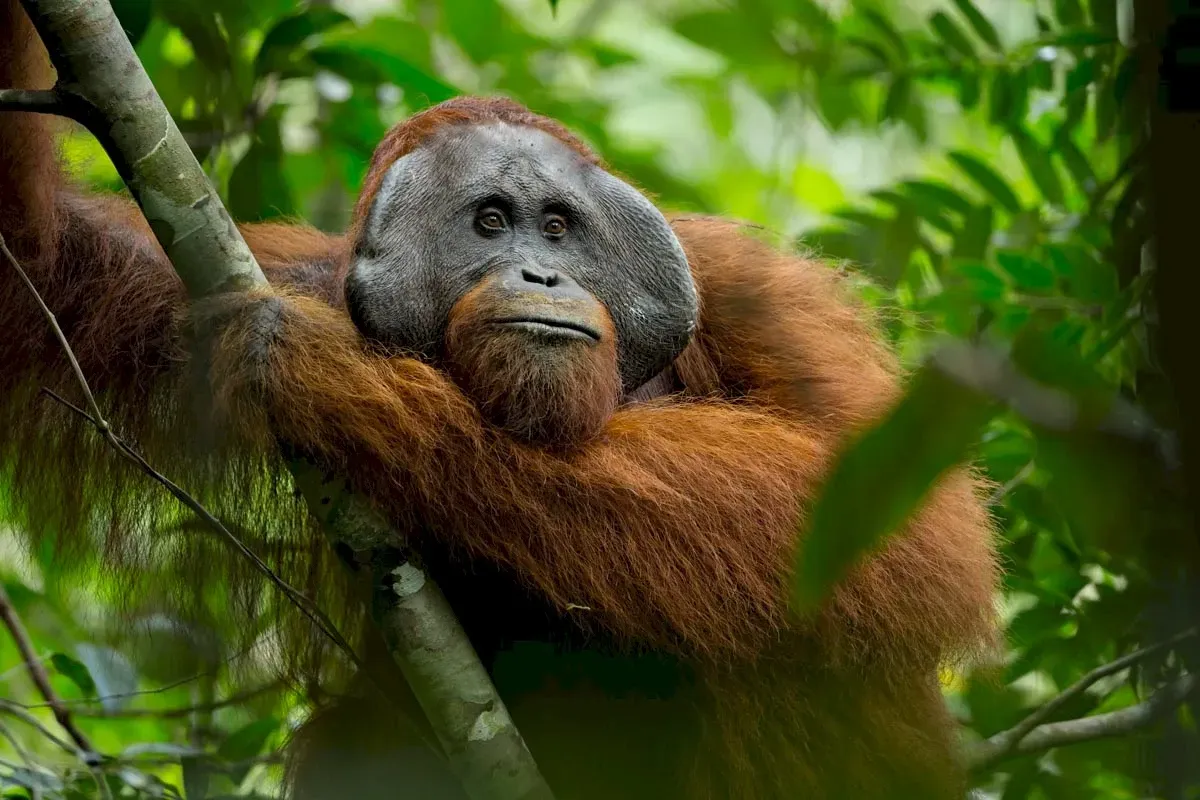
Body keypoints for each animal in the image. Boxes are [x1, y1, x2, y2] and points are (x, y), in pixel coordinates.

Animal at [0, 3, 999, 798]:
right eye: (489, 221)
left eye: (556, 225)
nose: (542, 273)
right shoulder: (233, 277)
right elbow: (42, 263)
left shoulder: (748, 292)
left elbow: (904, 525)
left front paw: (327, 373)